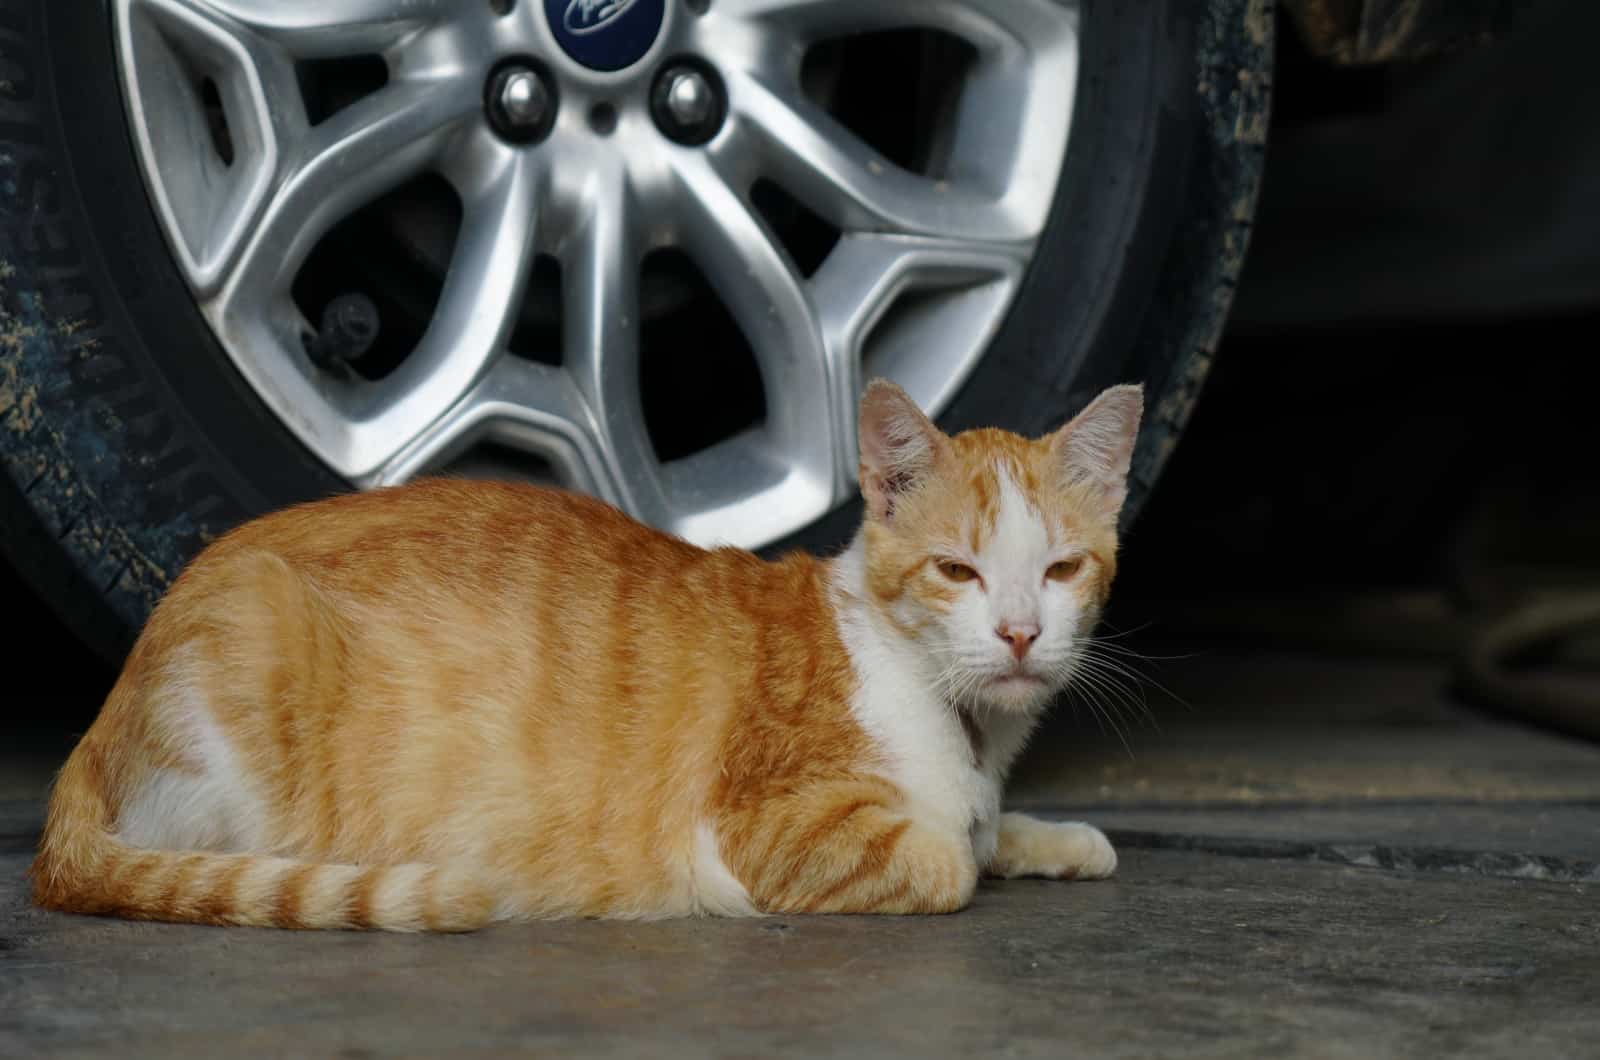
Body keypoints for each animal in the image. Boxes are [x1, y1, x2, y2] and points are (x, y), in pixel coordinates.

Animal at [31, 379, 1145, 928]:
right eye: (957, 571)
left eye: (1058, 571)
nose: (1017, 632)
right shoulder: (773, 829)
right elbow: (946, 858)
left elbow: (987, 830)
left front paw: (1053, 837)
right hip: (254, 648)